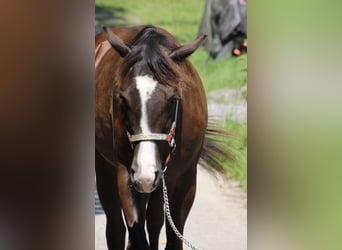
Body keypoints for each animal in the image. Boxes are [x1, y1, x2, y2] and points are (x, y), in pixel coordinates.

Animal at [95, 24, 231, 250]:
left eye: (174, 99)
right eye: (122, 98)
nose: (145, 172)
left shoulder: (185, 179)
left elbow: (172, 237)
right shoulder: (126, 172)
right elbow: (136, 234)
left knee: (154, 220)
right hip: (108, 167)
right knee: (116, 228)